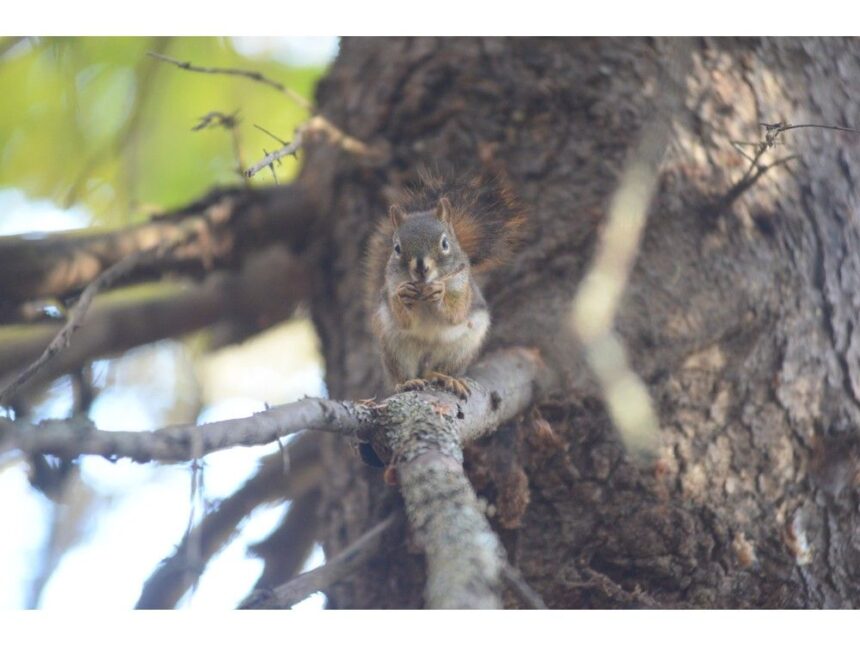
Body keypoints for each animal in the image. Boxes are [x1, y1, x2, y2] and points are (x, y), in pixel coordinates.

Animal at [365, 170, 526, 399]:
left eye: (444, 243)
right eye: (396, 248)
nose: (421, 268)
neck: (423, 290)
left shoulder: (462, 289)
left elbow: (456, 313)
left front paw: (440, 292)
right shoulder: (391, 289)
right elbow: (404, 319)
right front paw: (404, 296)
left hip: (460, 349)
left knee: (436, 370)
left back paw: (445, 378)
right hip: (395, 348)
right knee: (403, 374)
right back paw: (408, 382)